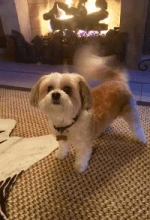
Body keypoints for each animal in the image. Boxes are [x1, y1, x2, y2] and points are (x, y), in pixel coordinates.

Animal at [29, 46, 146, 174]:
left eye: (67, 89)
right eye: (49, 88)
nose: (55, 94)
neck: (68, 120)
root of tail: (118, 81)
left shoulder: (84, 144)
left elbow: (82, 156)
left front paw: (79, 167)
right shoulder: (62, 138)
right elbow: (63, 146)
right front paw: (61, 154)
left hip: (130, 112)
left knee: (137, 127)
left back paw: (141, 139)